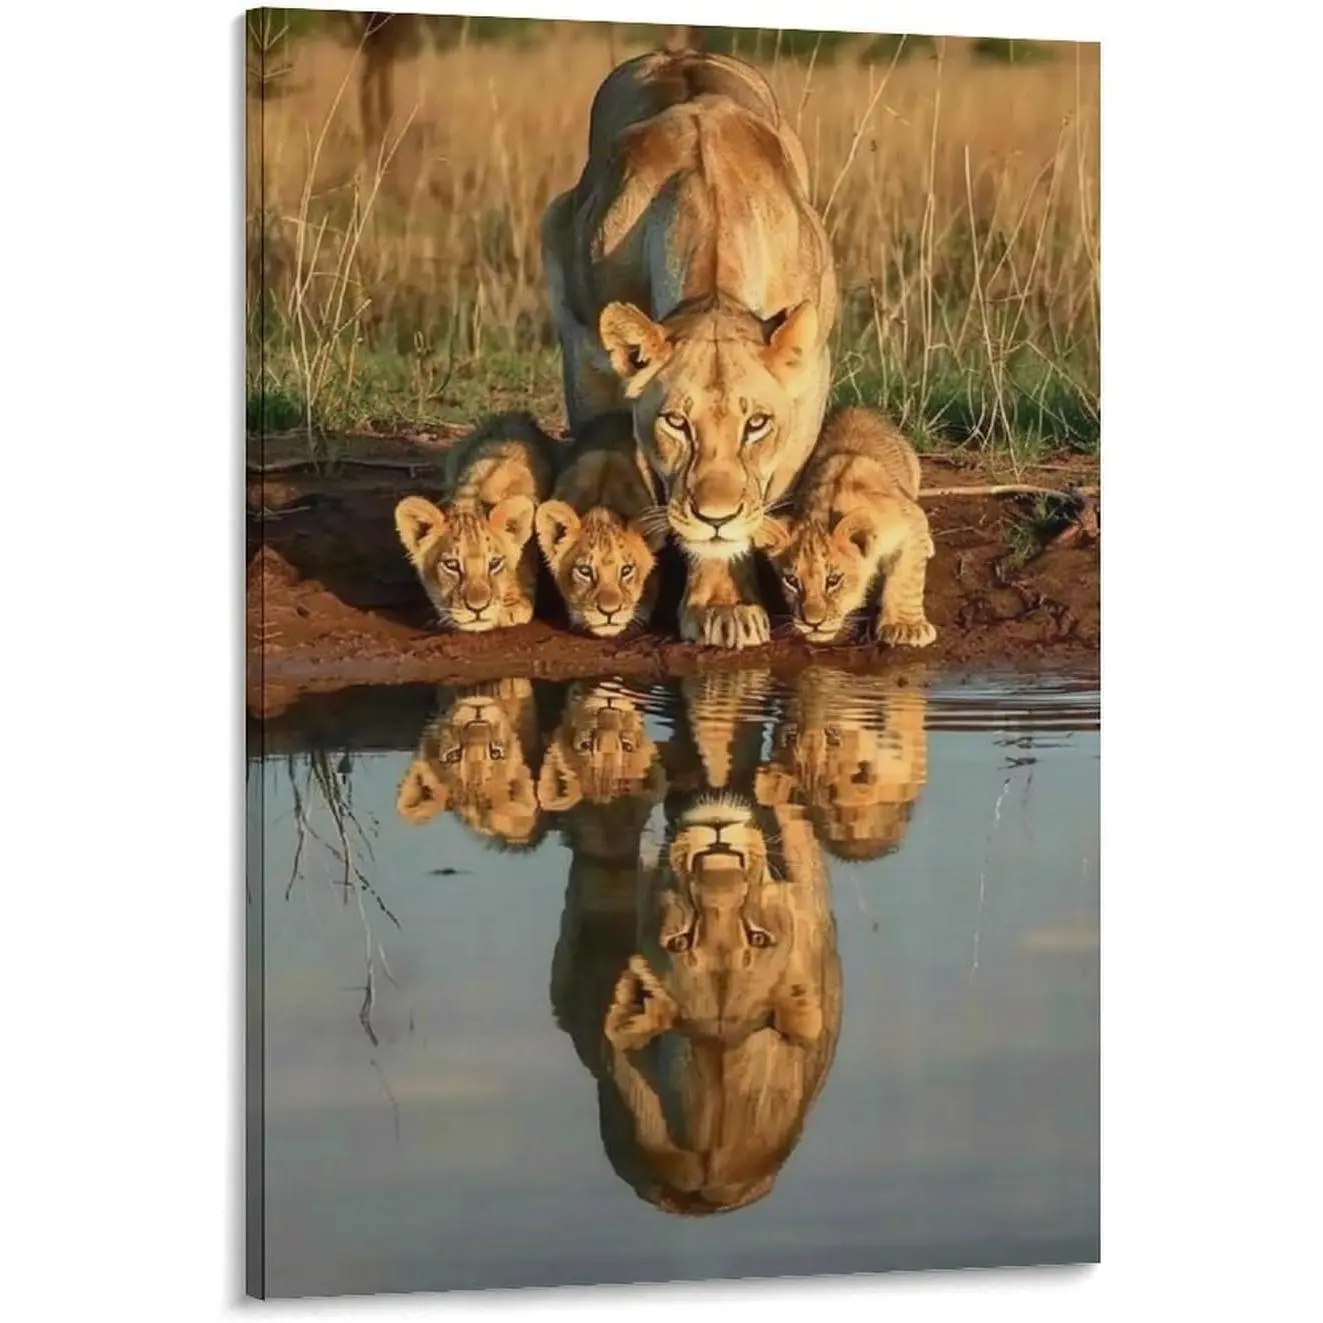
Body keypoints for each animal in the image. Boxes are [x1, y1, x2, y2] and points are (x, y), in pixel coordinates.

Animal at [757, 406, 937, 648]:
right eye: (791, 581)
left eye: (833, 580)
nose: (813, 623)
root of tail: (857, 406)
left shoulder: (910, 518)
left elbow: (907, 577)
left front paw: (906, 627)